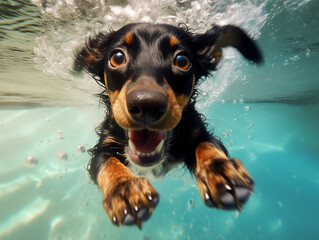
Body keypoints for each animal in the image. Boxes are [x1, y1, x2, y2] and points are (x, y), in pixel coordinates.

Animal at [74, 22, 262, 229]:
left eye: (182, 60)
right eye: (117, 58)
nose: (146, 104)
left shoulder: (196, 130)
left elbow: (207, 145)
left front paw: (220, 171)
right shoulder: (103, 146)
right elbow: (108, 163)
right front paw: (125, 190)